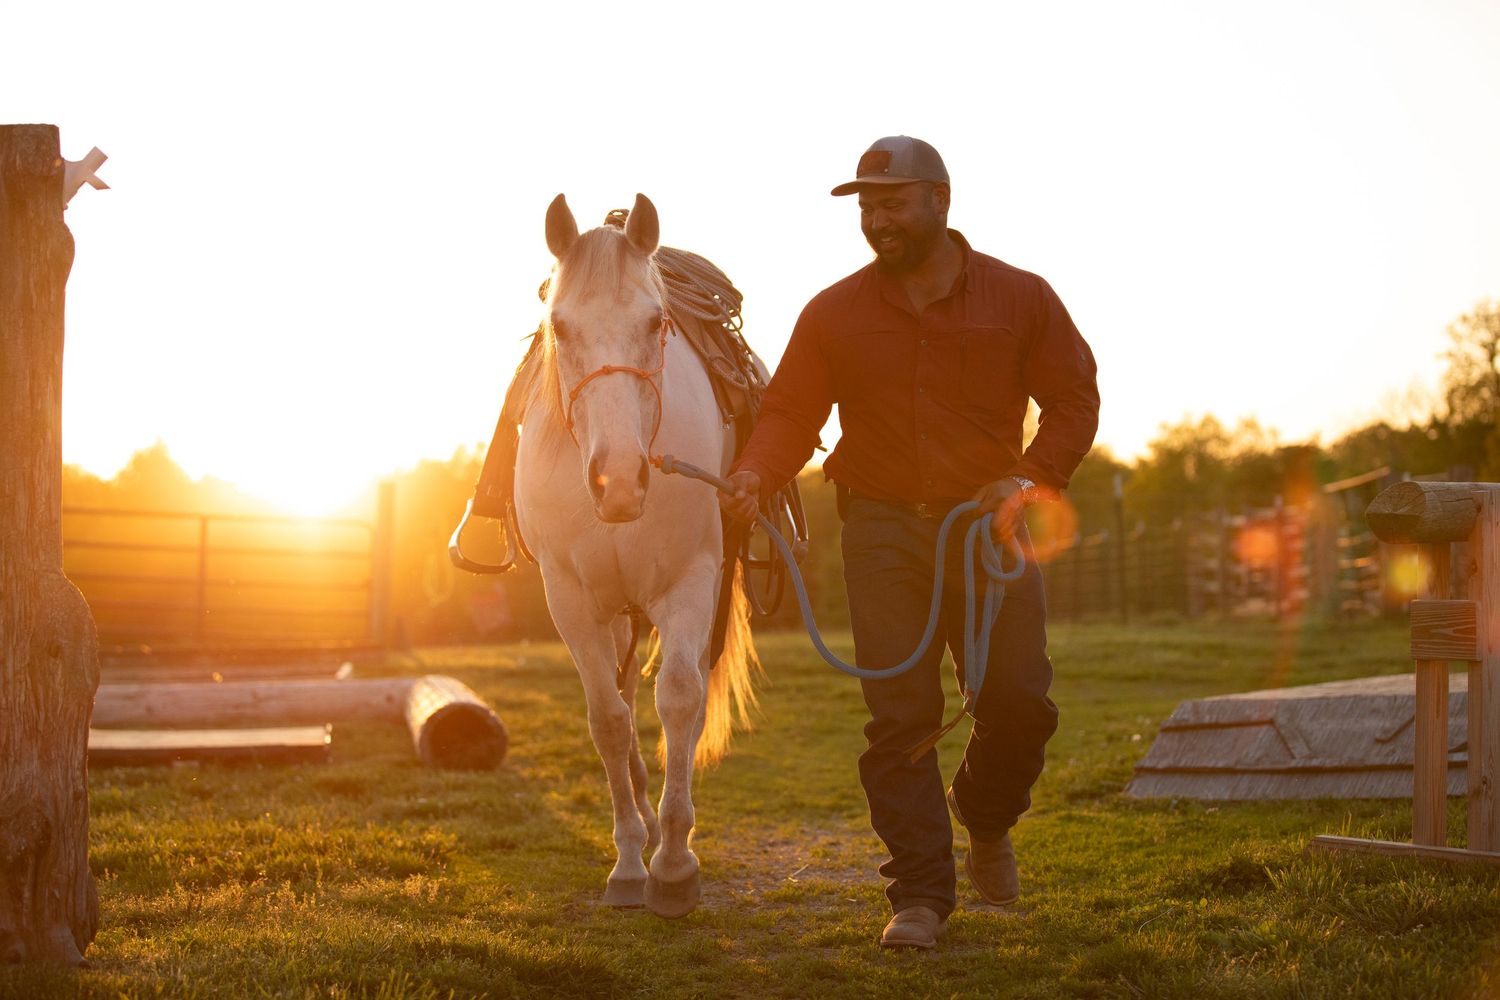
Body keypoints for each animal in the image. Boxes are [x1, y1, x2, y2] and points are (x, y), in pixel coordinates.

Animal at [514, 193, 760, 918]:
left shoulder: (690, 583)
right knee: (621, 696)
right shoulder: (569, 600)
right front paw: (628, 860)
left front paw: (675, 863)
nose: (617, 480)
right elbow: (608, 720)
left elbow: (678, 700)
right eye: (560, 327)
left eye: (656, 322)